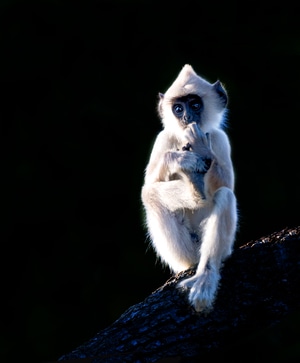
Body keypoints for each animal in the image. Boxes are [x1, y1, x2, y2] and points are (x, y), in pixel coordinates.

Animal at [141, 64, 237, 312]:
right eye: (177, 108)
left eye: (194, 105)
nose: (186, 116)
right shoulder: (163, 139)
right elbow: (149, 184)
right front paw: (182, 160)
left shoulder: (220, 138)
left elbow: (226, 184)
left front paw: (201, 150)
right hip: (182, 254)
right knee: (150, 194)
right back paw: (194, 187)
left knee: (225, 195)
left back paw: (205, 278)